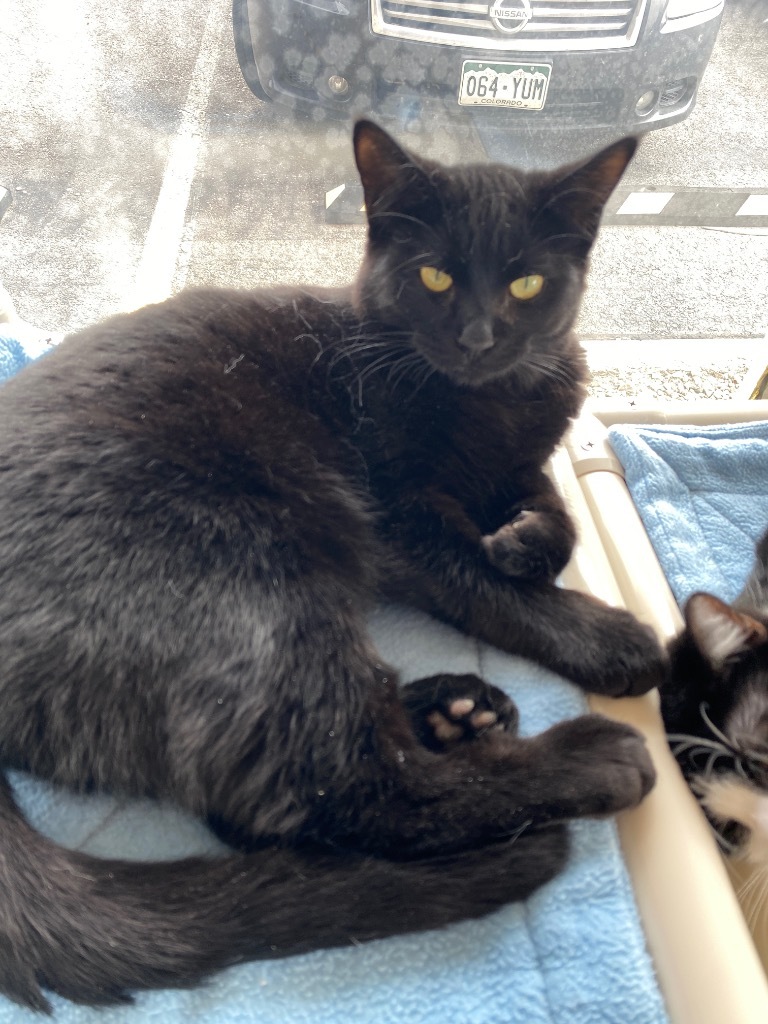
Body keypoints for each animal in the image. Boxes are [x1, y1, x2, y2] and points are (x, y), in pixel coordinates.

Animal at [0, 117, 663, 1007]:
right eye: (434, 276)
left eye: (527, 285)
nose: (479, 337)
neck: (490, 402)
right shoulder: (398, 517)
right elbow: (483, 585)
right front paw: (609, 638)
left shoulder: (524, 461)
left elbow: (555, 515)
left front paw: (527, 541)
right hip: (255, 578)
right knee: (346, 794)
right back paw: (580, 759)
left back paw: (454, 711)